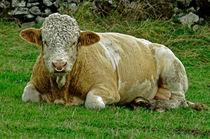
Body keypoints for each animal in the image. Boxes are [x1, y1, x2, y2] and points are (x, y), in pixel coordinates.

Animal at [19, 13, 205, 111]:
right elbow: (28, 96)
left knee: (178, 100)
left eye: (74, 42)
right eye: (45, 41)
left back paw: (154, 104)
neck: (61, 90)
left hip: (173, 71)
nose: (59, 65)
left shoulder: (107, 88)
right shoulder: (33, 84)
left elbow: (93, 102)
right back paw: (140, 101)